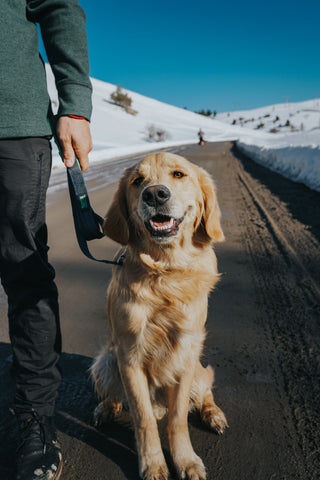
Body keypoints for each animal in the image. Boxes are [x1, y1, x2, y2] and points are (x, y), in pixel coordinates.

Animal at [91, 152, 229, 478]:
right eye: (137, 181)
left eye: (178, 174)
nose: (154, 194)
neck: (166, 271)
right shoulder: (129, 357)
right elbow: (142, 419)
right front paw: (153, 463)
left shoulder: (185, 352)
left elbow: (178, 419)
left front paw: (185, 461)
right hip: (106, 361)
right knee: (117, 398)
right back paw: (105, 408)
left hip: (198, 369)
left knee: (205, 393)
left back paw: (214, 415)